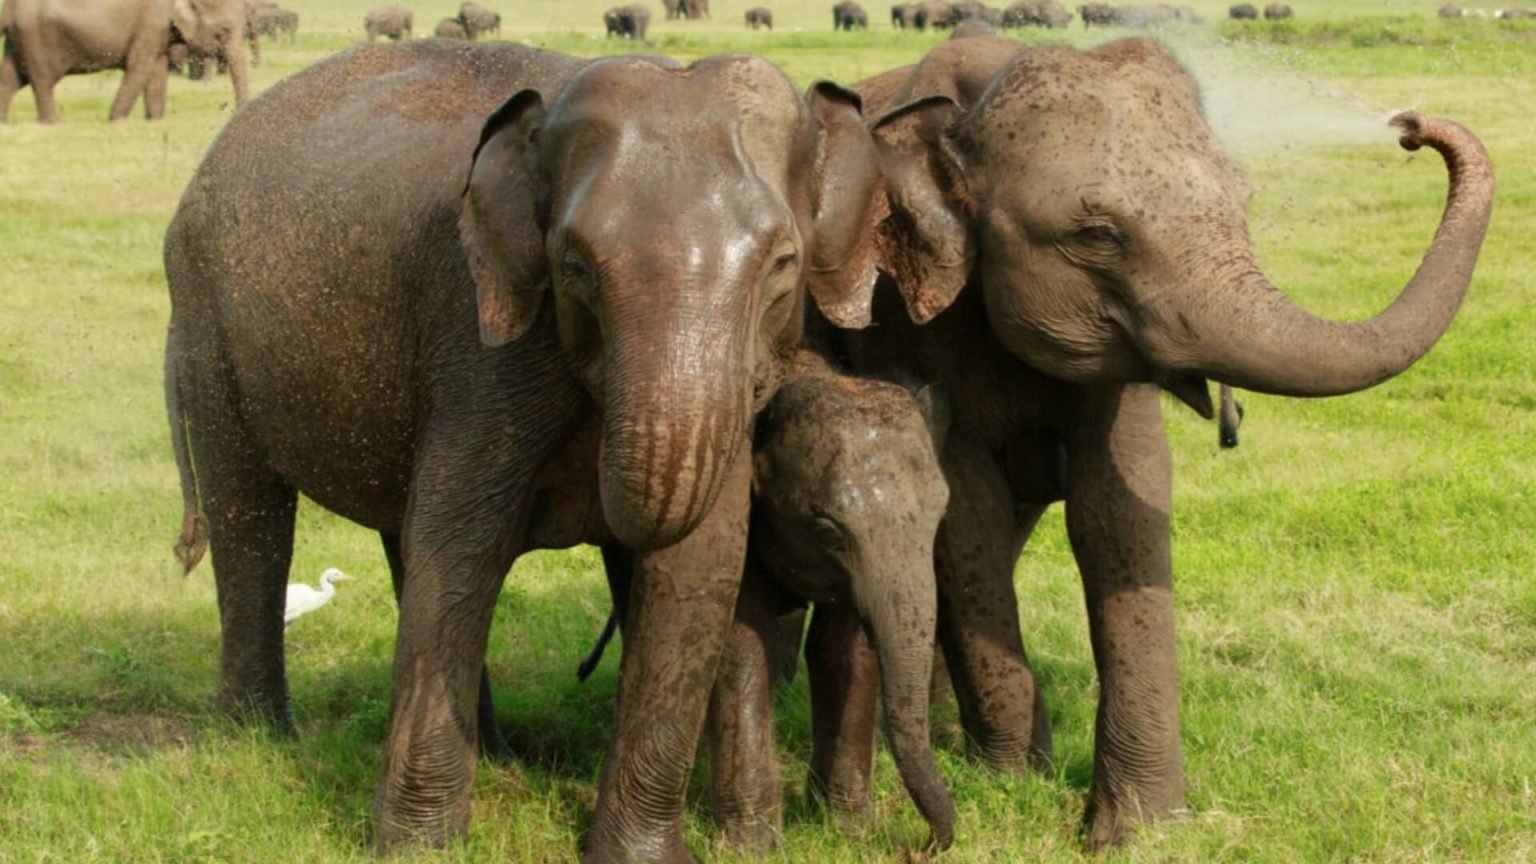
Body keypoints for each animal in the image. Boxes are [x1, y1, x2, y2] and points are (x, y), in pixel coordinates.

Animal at [0, 0, 248, 122]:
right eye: (223, 31)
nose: (232, 111)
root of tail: (8, 9)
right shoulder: (150, 23)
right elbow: (139, 67)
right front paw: (115, 121)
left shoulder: (158, 31)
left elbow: (156, 70)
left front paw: (154, 120)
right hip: (36, 39)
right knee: (42, 82)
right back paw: (52, 123)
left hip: (19, 41)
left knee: (10, 80)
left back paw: (5, 124)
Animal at [162, 36, 884, 854]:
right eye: (573, 265)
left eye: (783, 264)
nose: (584, 671)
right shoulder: (481, 349)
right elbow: (461, 546)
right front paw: (417, 850)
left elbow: (698, 562)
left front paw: (638, 856)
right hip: (206, 327)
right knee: (253, 519)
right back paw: (256, 741)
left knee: (395, 539)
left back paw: (496, 754)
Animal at [811, 35, 1492, 848]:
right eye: (1094, 236)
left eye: (1244, 204)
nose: (1411, 126)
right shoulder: (902, 318)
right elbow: (969, 509)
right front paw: (1014, 784)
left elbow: (1119, 508)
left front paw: (1136, 831)